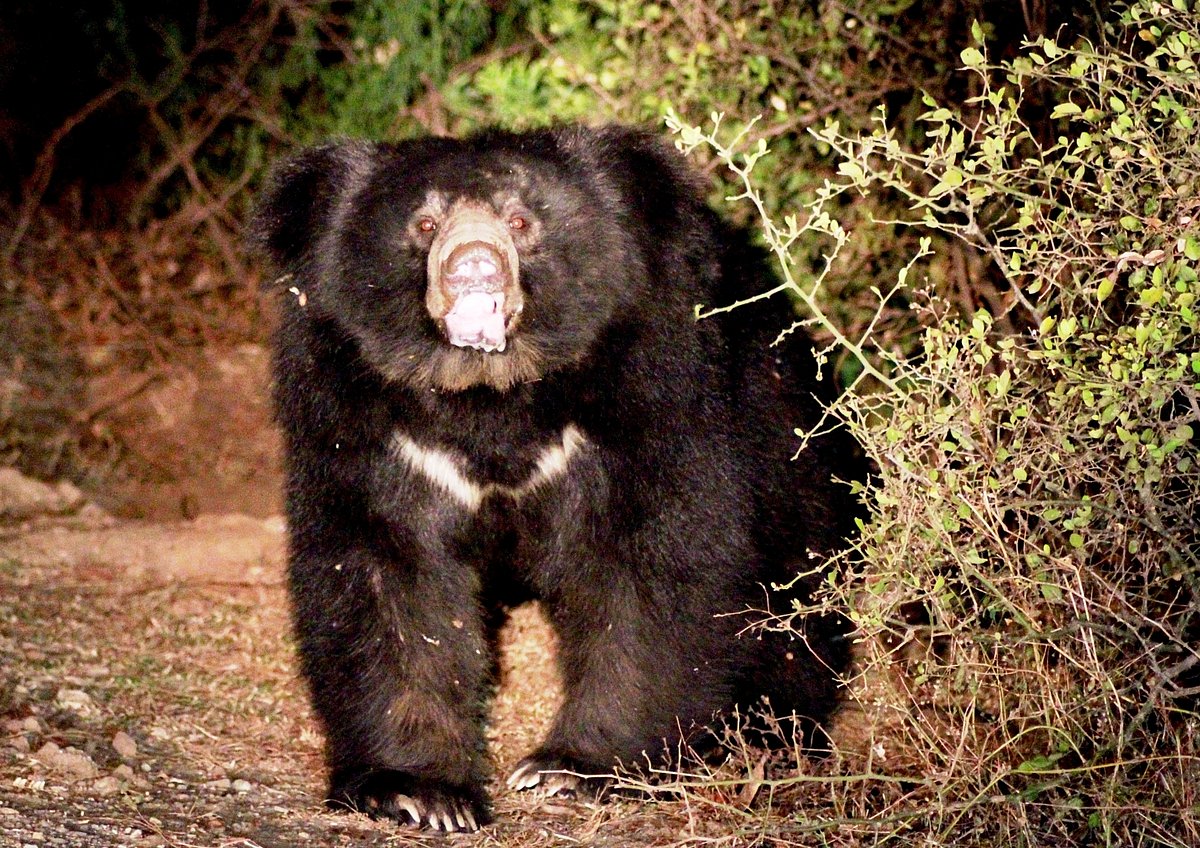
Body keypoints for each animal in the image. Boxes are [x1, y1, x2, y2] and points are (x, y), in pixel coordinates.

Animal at [252, 124, 862, 833]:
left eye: (520, 220)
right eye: (425, 224)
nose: (474, 265)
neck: (491, 393)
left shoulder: (648, 393)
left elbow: (647, 568)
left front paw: (569, 771)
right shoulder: (369, 422)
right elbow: (386, 574)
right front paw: (418, 794)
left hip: (781, 430)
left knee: (796, 586)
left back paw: (770, 735)